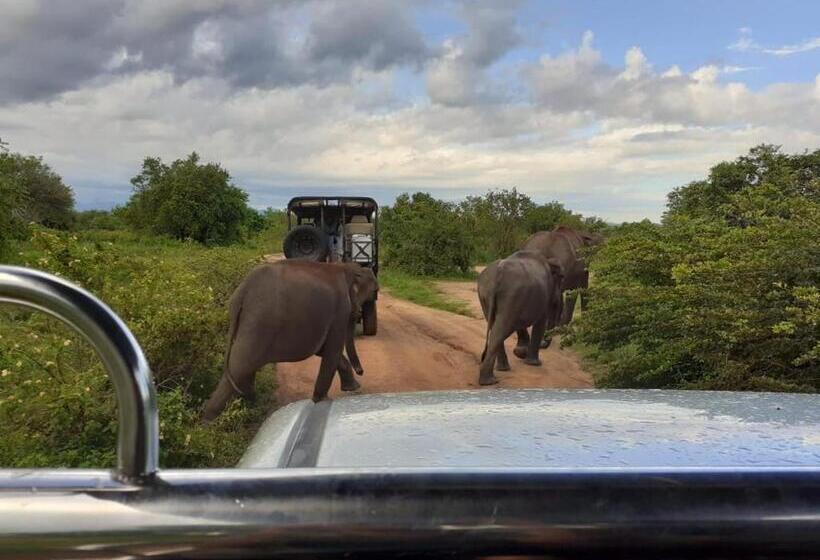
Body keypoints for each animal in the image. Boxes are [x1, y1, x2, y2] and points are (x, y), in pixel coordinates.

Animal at [202, 260, 379, 422]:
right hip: (259, 321)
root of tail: (243, 291)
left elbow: (323, 350)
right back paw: (208, 422)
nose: (361, 371)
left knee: (244, 367)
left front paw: (352, 388)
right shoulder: (340, 310)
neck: (346, 268)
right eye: (374, 291)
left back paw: (249, 406)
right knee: (240, 366)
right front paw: (321, 402)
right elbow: (332, 351)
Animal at [477, 250, 564, 386]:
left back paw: (500, 371)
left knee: (496, 327)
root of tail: (496, 276)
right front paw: (534, 363)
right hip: (511, 294)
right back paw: (490, 381)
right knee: (502, 329)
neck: (548, 261)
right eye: (562, 278)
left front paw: (520, 353)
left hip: (485, 295)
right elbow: (540, 322)